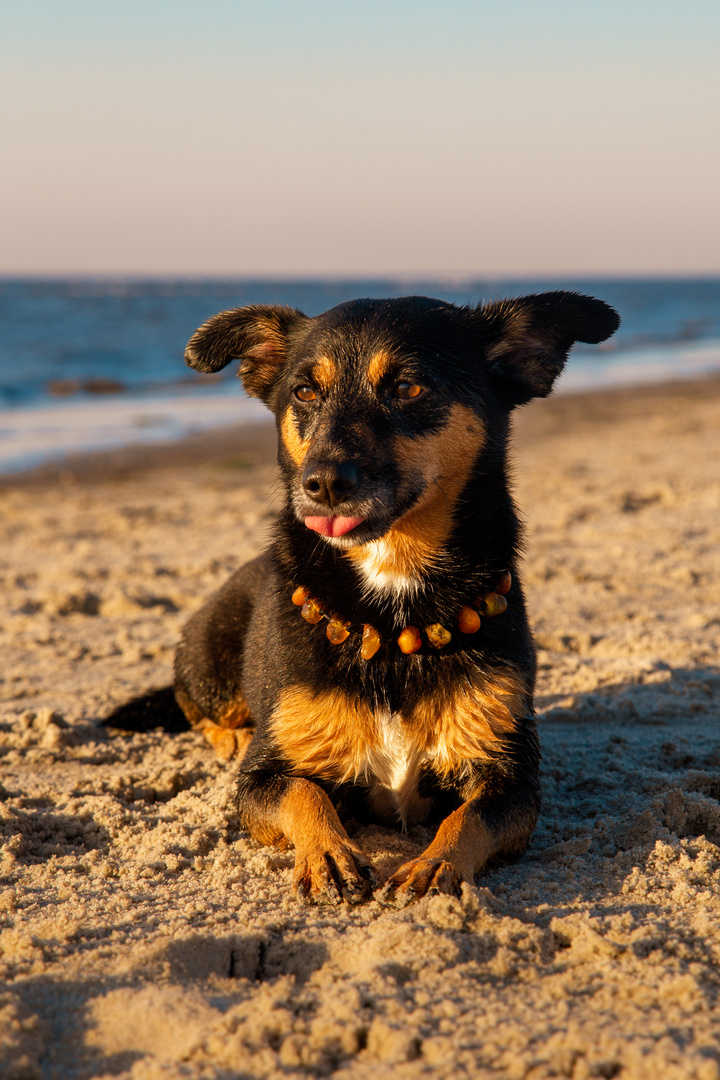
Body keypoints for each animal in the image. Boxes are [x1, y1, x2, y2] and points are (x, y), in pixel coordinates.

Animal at [170, 293, 621, 902]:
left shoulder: (510, 776)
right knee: (198, 709)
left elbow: (468, 818)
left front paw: (437, 863)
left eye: (408, 387)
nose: (322, 484)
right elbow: (303, 794)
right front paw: (329, 854)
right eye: (304, 392)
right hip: (210, 661)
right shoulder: (262, 780)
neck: (393, 601)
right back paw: (232, 737)